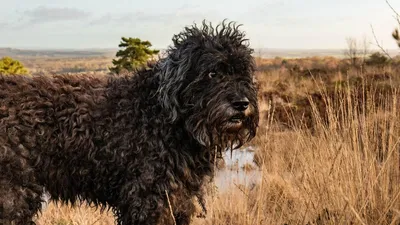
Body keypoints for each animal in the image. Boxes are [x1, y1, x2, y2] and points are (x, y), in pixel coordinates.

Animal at [0, 20, 260, 224]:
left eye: (243, 74)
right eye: (212, 73)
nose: (241, 103)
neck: (164, 115)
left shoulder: (178, 199)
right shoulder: (149, 200)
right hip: (13, 196)